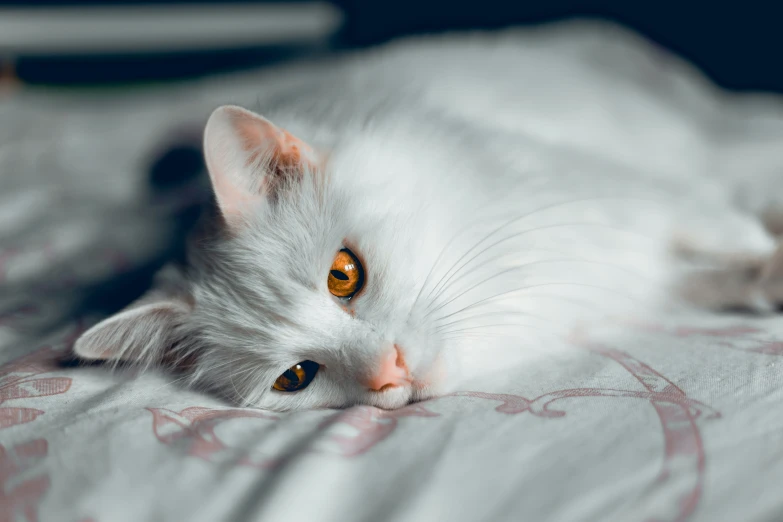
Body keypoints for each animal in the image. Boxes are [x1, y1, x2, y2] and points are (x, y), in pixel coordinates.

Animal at [73, 22, 783, 408]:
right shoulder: (627, 269)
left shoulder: (628, 199)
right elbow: (708, 281)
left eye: (344, 275)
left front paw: (767, 257)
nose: (390, 372)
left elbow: (720, 230)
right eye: (297, 377)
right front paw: (761, 284)